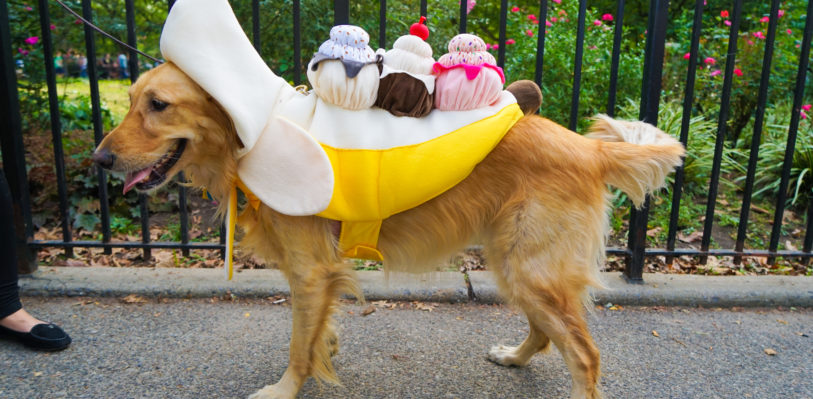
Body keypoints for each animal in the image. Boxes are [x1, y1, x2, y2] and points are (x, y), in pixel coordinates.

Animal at [90, 64, 684, 398]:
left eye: (159, 106)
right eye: (131, 100)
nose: (99, 160)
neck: (250, 135)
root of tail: (590, 148)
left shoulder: (311, 270)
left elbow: (297, 350)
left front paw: (284, 389)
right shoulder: (317, 274)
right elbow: (314, 334)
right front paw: (327, 344)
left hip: (529, 268)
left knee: (584, 356)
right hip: (516, 264)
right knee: (546, 332)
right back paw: (514, 357)